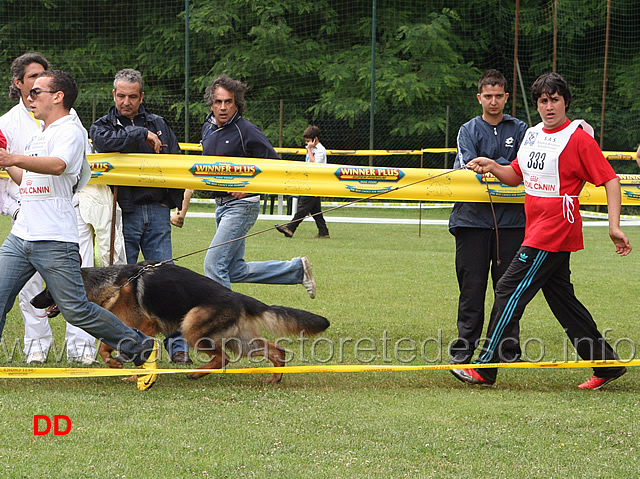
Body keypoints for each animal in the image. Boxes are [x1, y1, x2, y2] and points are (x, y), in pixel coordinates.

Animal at [30, 260, 330, 384]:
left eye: (47, 290)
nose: (32, 301)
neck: (112, 284)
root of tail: (237, 297)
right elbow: (105, 346)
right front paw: (116, 364)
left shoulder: (143, 329)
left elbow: (129, 350)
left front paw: (134, 374)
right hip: (241, 341)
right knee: (275, 351)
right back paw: (275, 378)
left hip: (192, 327)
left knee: (223, 358)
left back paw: (195, 373)